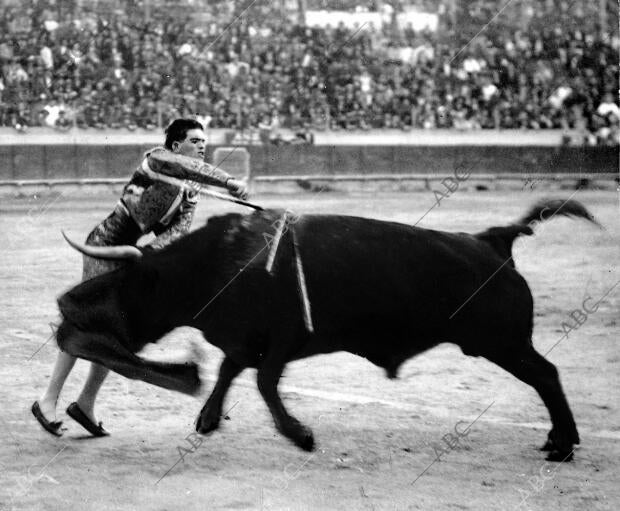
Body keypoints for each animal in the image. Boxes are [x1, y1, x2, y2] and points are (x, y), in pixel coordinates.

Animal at [57, 199, 596, 460]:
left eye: (127, 282)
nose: (66, 304)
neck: (216, 263)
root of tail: (492, 240)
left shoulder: (282, 340)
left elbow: (262, 382)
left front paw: (300, 435)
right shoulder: (247, 341)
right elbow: (231, 372)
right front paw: (208, 419)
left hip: (503, 343)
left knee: (546, 375)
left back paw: (563, 445)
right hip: (504, 343)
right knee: (546, 376)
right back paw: (556, 440)